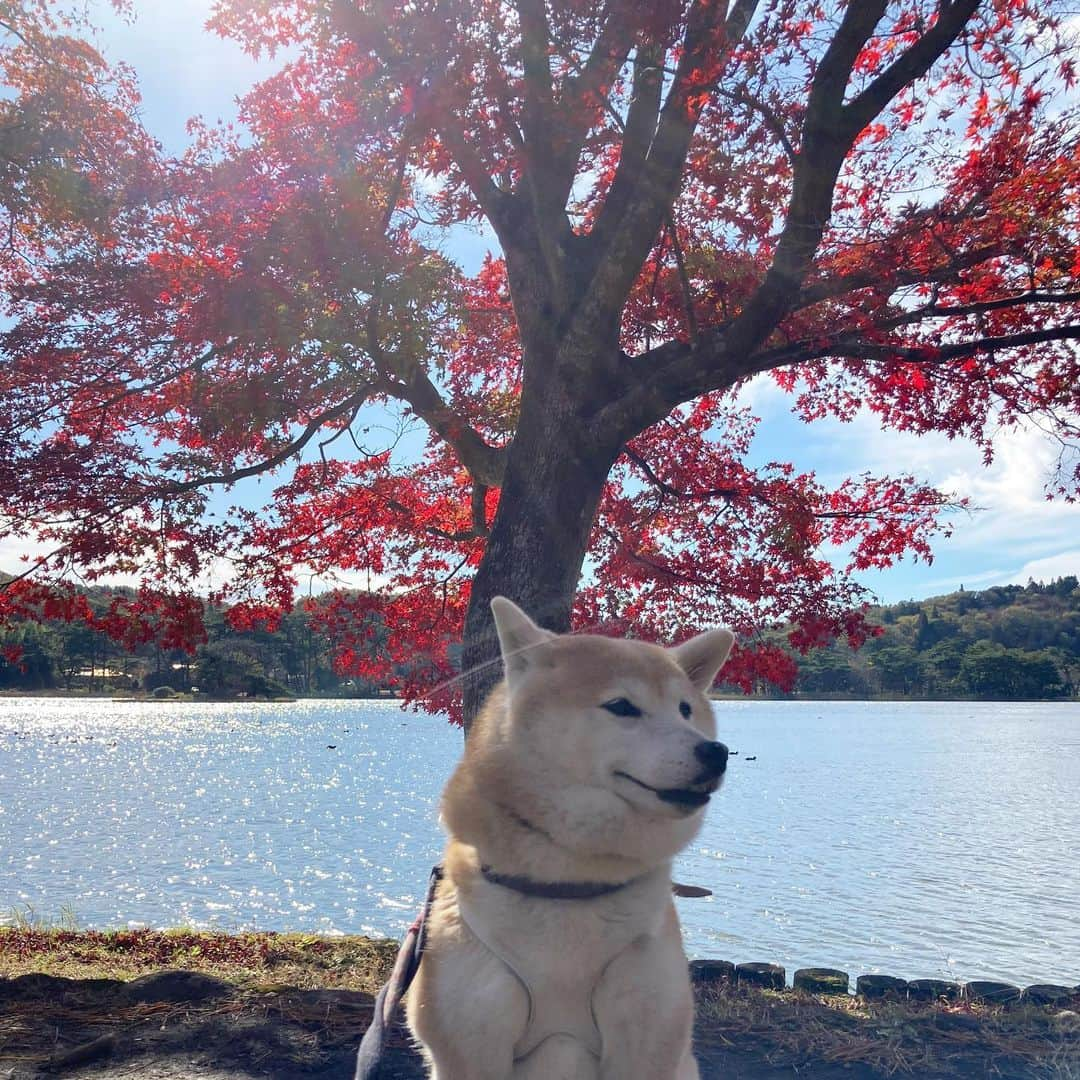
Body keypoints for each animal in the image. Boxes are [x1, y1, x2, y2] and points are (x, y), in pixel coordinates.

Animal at [406, 600, 734, 1080]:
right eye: (622, 706)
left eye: (685, 710)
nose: (715, 751)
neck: (568, 884)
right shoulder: (471, 1041)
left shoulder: (646, 1034)